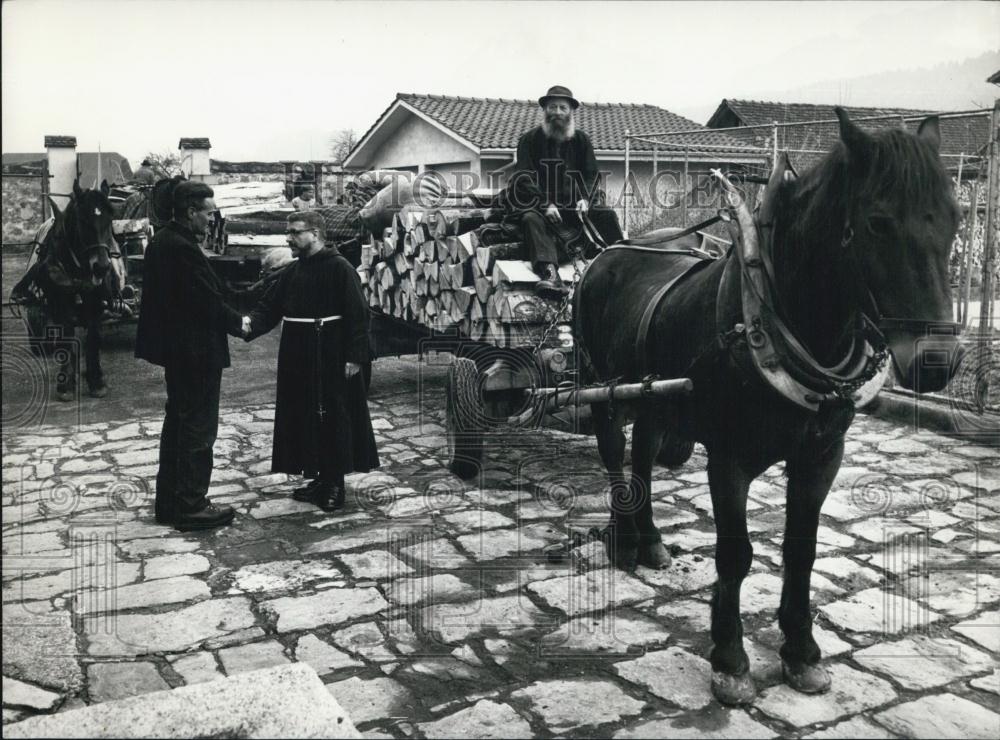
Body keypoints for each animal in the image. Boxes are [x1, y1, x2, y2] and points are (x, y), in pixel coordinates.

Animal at [11, 178, 119, 398]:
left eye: (110, 217)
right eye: (82, 220)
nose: (102, 267)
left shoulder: (96, 300)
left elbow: (93, 336)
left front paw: (96, 380)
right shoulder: (59, 300)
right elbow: (67, 336)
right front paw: (67, 382)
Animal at [576, 110, 964, 704]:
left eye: (956, 218)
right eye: (877, 223)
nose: (937, 362)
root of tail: (610, 252)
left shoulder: (822, 456)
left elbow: (802, 550)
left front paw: (801, 651)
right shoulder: (729, 458)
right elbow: (736, 554)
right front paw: (730, 657)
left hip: (655, 392)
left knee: (642, 449)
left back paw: (651, 541)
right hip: (604, 385)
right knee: (613, 449)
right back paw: (624, 537)